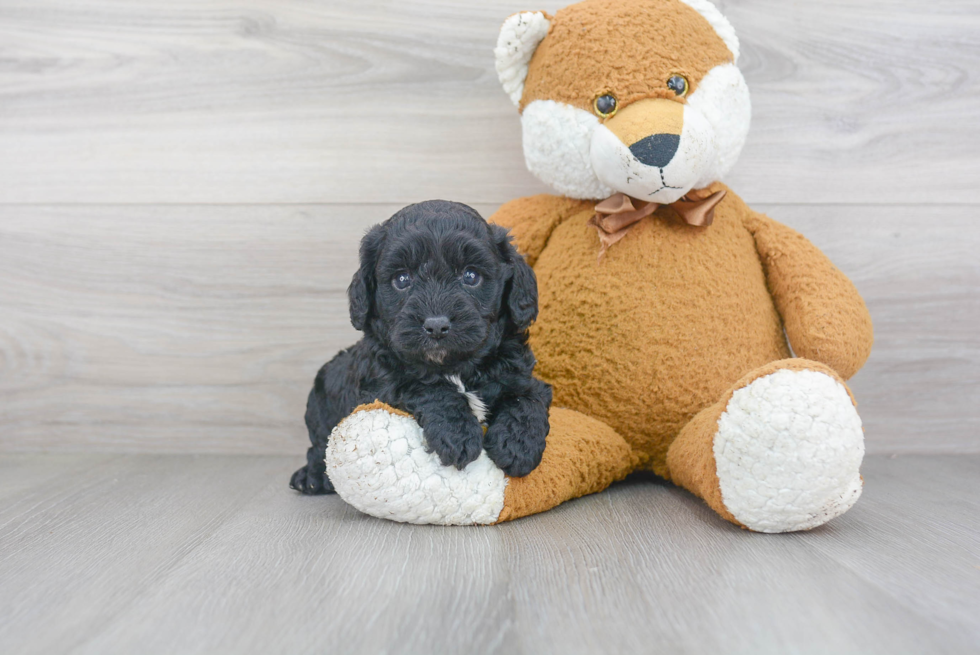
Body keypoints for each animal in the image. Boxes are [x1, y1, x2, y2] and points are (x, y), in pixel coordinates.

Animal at [290, 202, 552, 494]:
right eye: (402, 279)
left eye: (471, 276)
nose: (436, 326)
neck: (455, 366)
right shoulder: (381, 385)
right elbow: (427, 387)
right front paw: (458, 435)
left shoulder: (523, 375)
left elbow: (527, 397)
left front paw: (518, 446)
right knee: (317, 447)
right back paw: (311, 477)